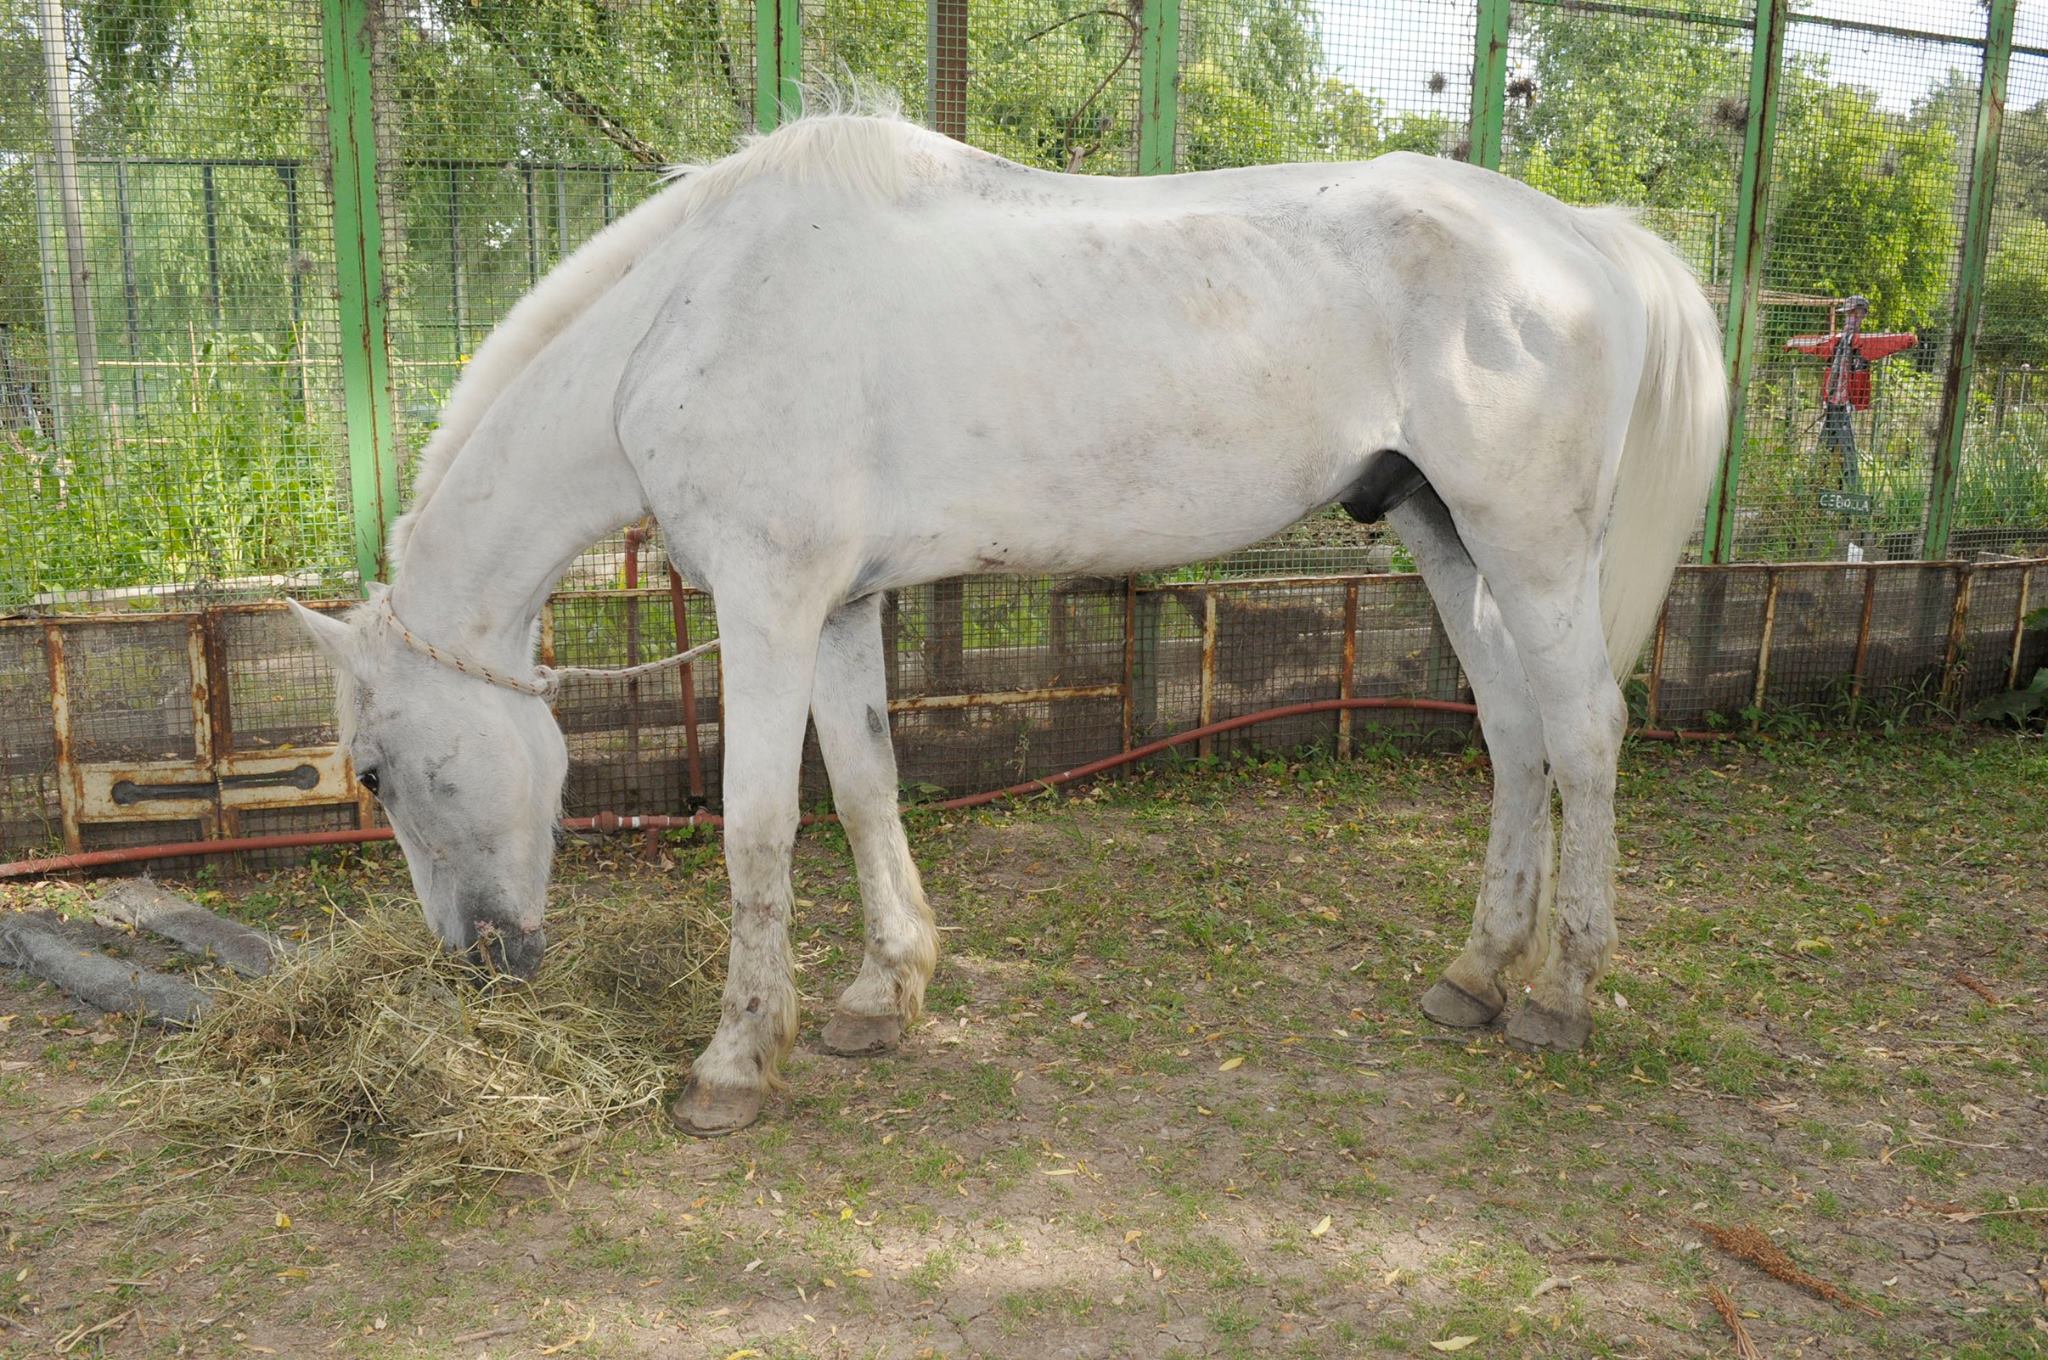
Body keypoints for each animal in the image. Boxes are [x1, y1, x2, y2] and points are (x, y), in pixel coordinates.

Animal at [289, 102, 1728, 1135]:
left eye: (378, 770)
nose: (480, 960)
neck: (690, 317)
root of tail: (1581, 237)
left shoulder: (766, 606)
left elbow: (758, 829)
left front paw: (737, 1060)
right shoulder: (838, 609)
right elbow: (865, 787)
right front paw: (884, 993)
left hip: (1530, 549)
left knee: (1583, 736)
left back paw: (1558, 991)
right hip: (1443, 536)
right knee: (1514, 738)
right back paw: (1477, 974)